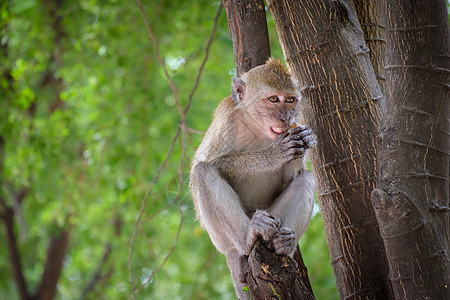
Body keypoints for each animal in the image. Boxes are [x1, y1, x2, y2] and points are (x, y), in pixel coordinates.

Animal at [188, 57, 314, 298]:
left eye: (290, 100)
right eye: (273, 99)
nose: (286, 118)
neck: (257, 127)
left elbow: (292, 176)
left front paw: (306, 138)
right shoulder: (227, 119)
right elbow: (207, 163)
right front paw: (273, 155)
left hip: (272, 215)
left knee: (307, 179)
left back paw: (283, 244)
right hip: (221, 238)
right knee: (203, 172)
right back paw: (247, 238)